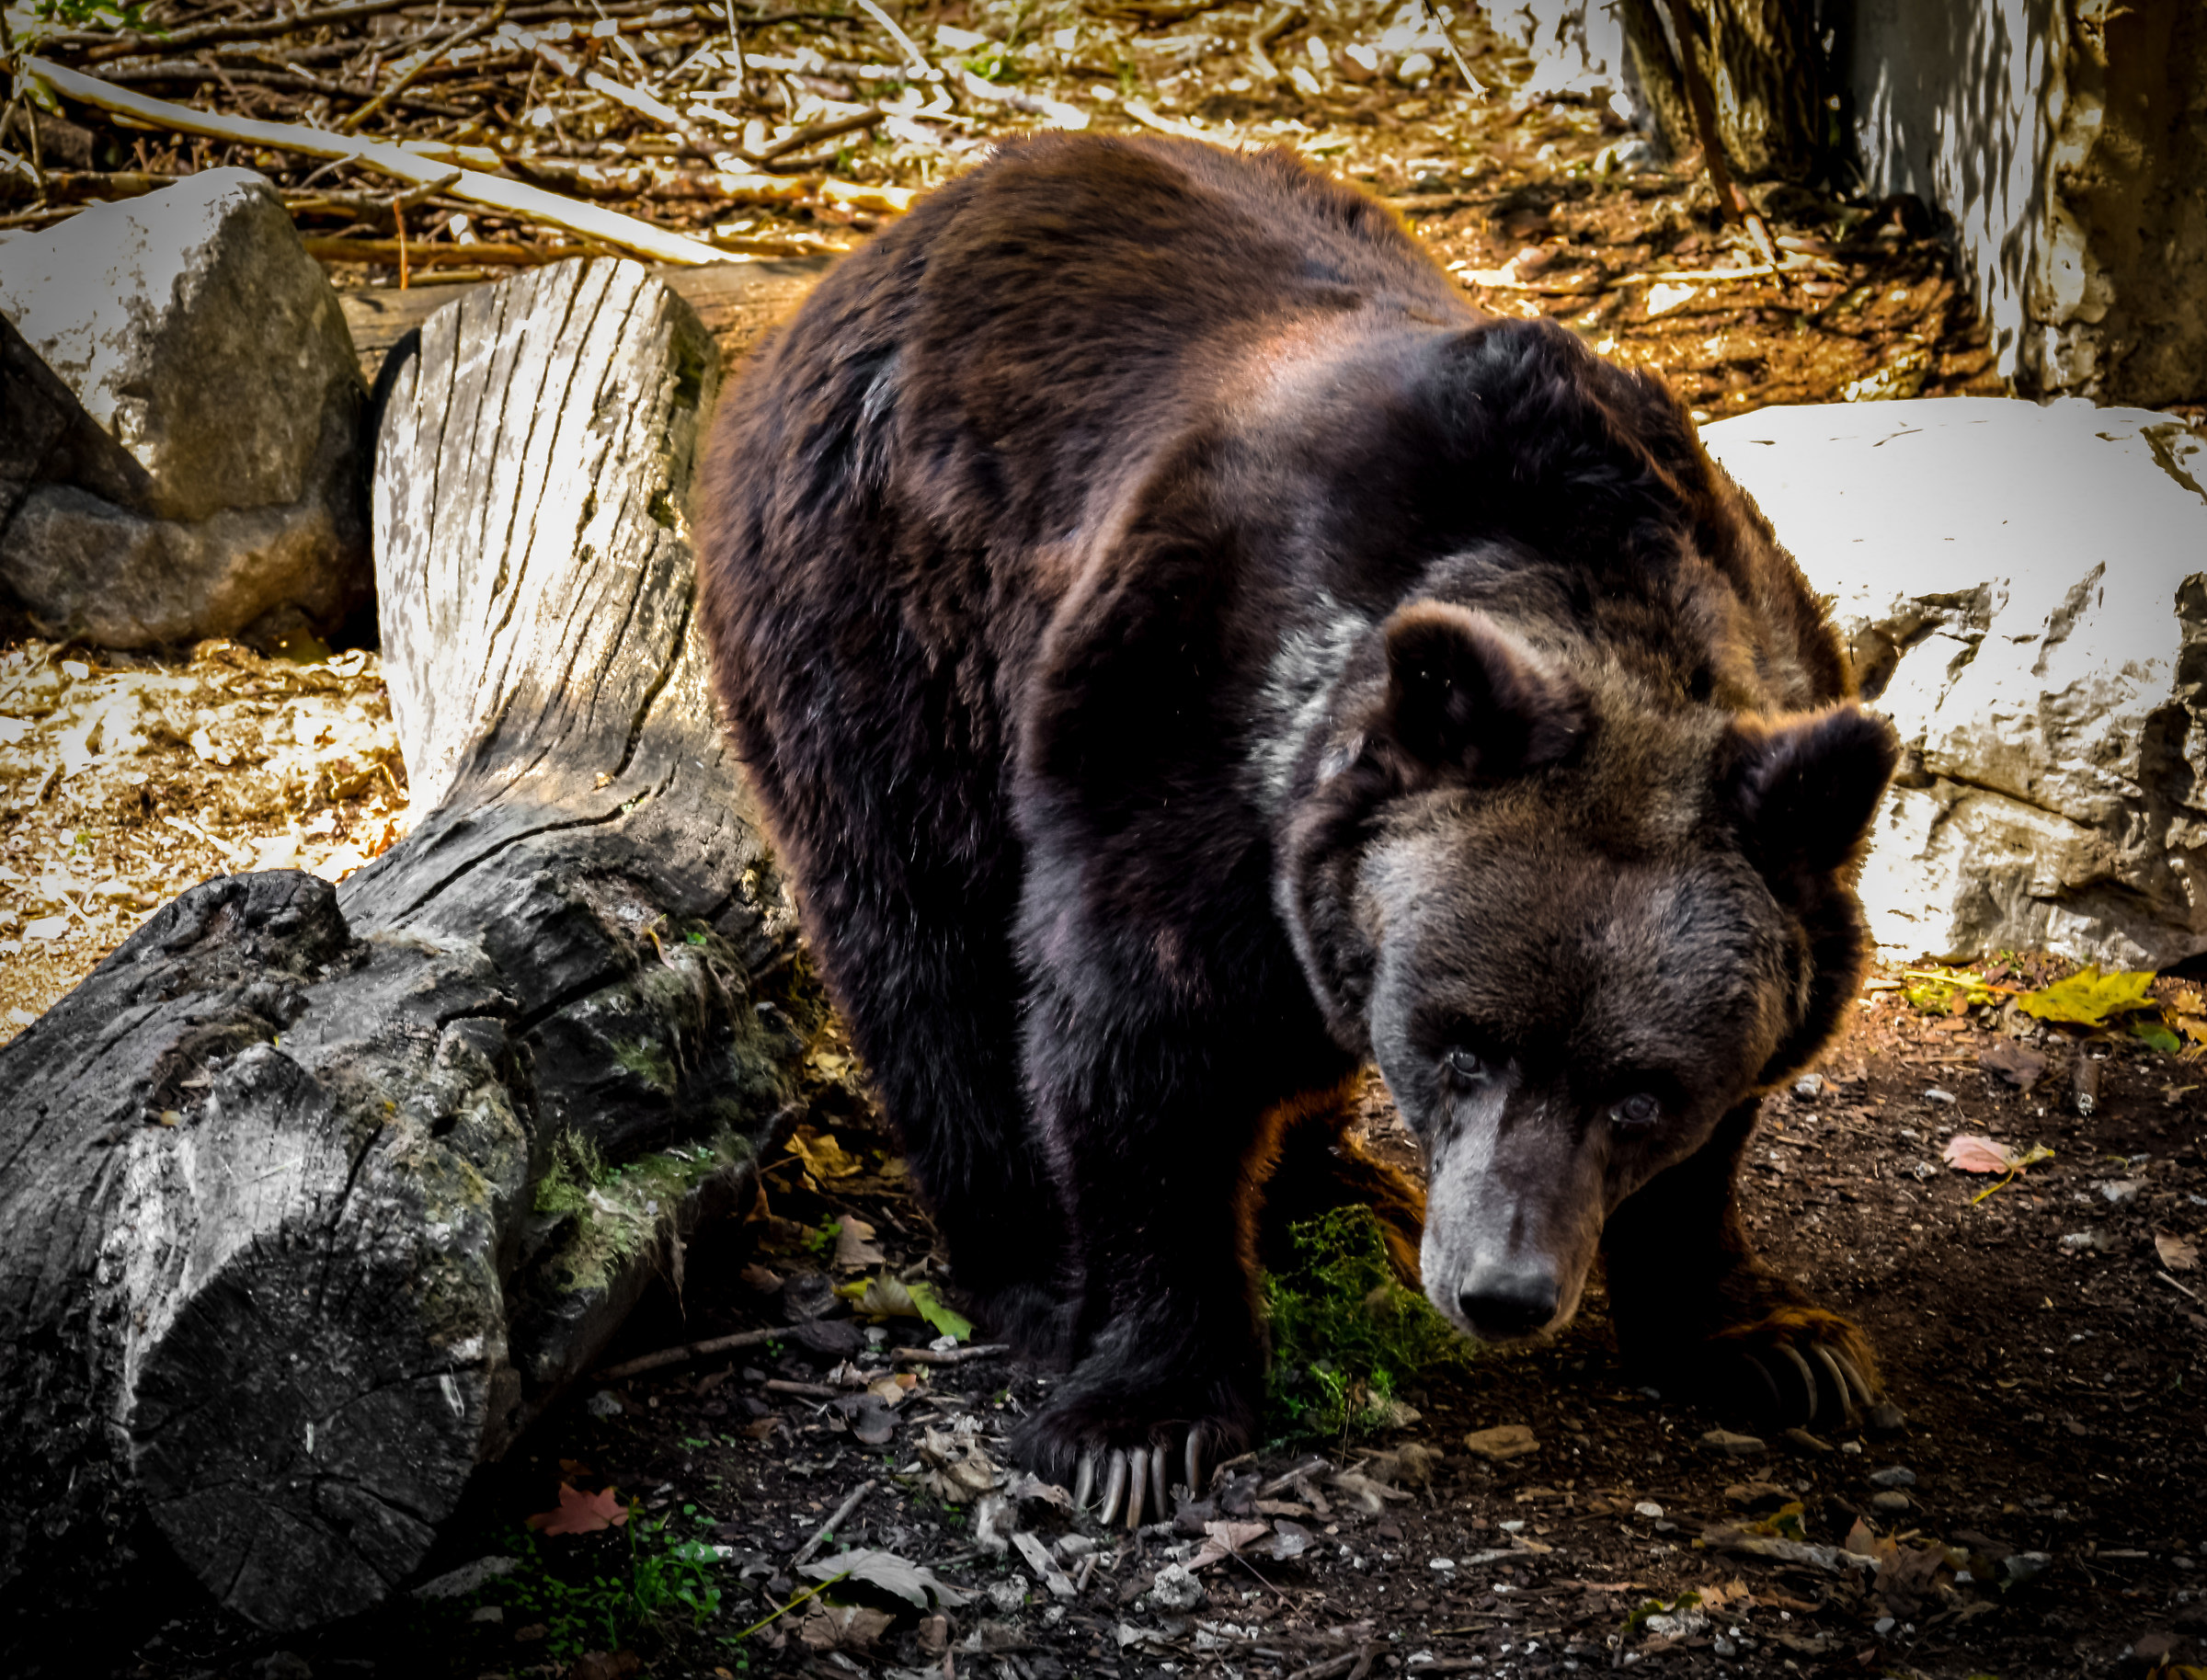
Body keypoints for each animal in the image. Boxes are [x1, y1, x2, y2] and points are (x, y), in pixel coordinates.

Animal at [695, 133, 1898, 1520]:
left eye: (1643, 1091)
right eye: (1462, 1048)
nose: (1503, 1289)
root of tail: (864, 254)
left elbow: (1725, 1132)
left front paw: (1777, 1340)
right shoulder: (1183, 717)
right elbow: (1137, 1045)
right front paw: (1142, 1412)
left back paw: (1344, 1183)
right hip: (879, 629)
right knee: (922, 941)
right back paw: (1033, 1264)